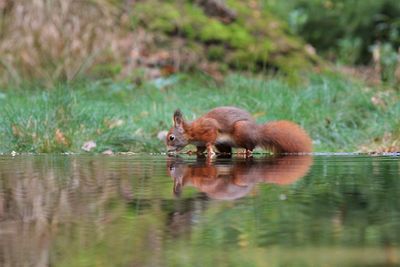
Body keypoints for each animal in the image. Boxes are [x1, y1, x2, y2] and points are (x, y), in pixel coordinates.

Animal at [166, 106, 312, 155]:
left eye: (171, 137)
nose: (167, 151)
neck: (191, 132)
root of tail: (258, 133)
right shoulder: (199, 144)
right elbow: (199, 150)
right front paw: (191, 152)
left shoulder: (208, 128)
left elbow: (210, 139)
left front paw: (209, 150)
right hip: (223, 144)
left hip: (241, 131)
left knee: (251, 146)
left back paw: (243, 152)